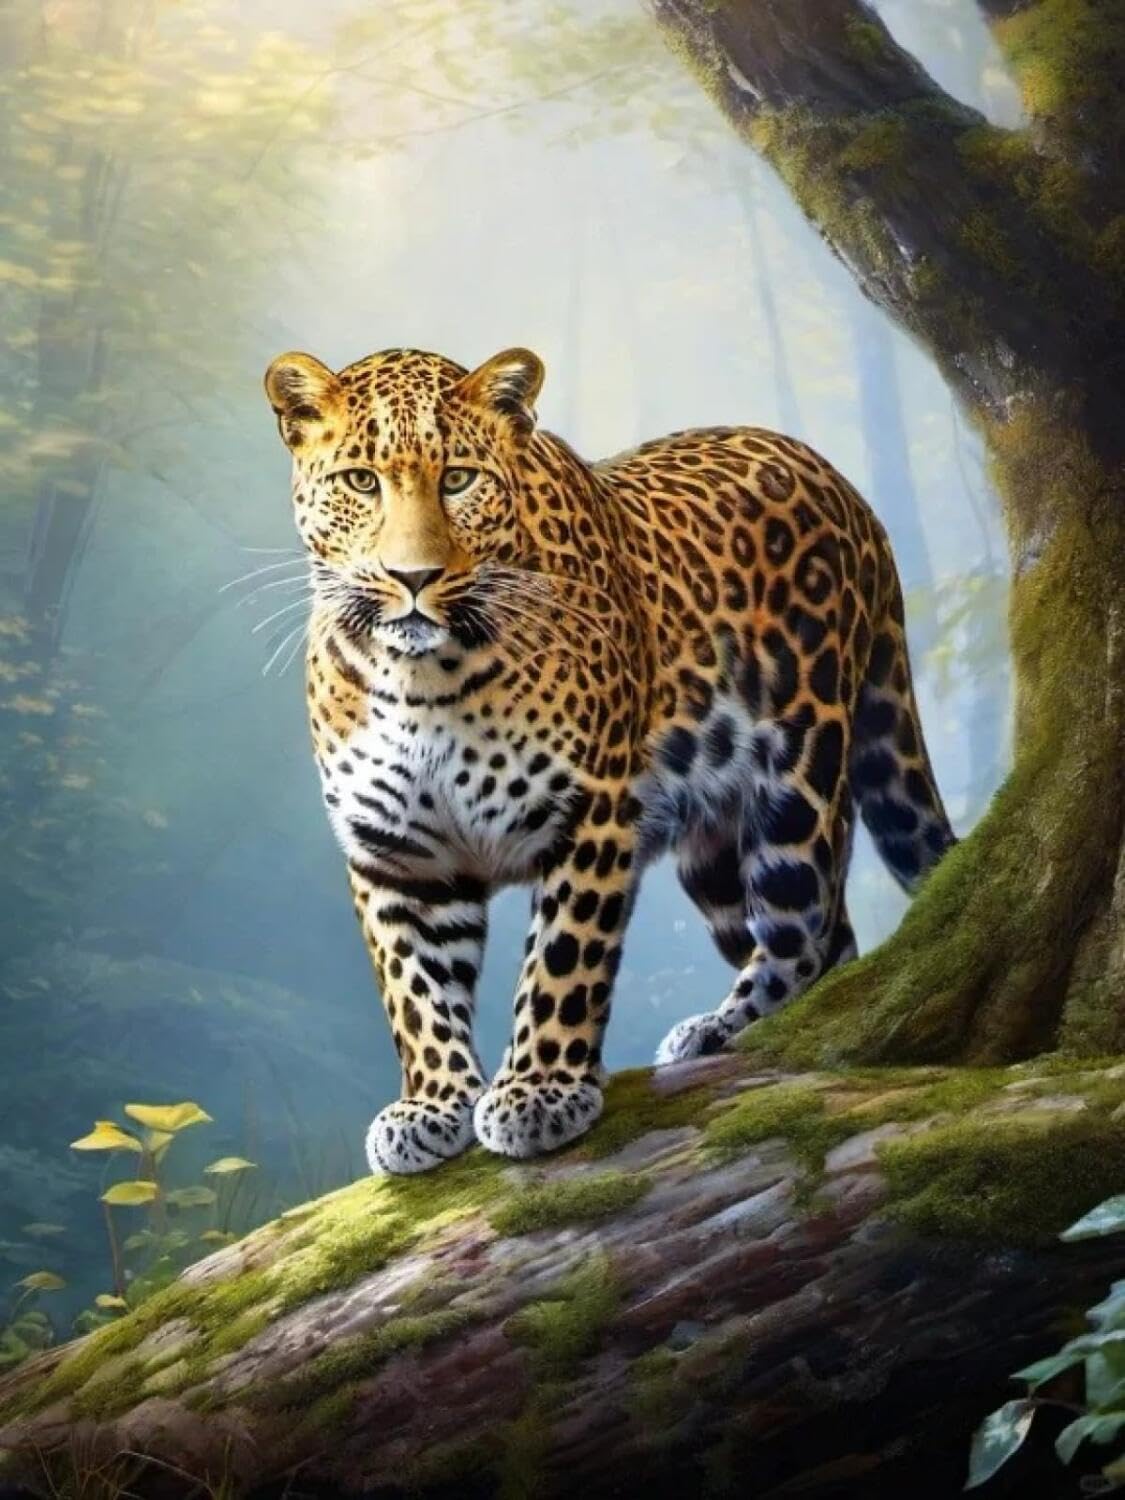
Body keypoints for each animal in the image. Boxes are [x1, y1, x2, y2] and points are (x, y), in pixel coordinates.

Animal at [263, 344, 955, 1174]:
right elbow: (414, 986)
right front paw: (430, 1105)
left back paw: (728, 1028)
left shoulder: (589, 812)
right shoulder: (393, 851)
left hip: (799, 781)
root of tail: (845, 489)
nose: (413, 578)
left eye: (458, 479)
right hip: (713, 850)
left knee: (804, 932)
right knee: (832, 943)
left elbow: (563, 960)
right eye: (361, 482)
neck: (423, 681)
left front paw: (538, 1095)